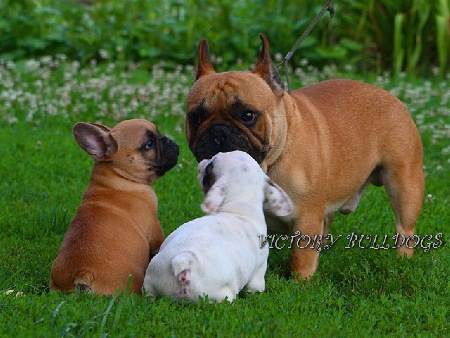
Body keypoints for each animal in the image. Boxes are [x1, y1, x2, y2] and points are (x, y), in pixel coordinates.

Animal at [142, 151, 294, 302]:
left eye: (210, 165)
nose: (203, 160)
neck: (241, 203)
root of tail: (185, 261)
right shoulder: (259, 269)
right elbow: (255, 287)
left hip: (153, 279)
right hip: (218, 294)